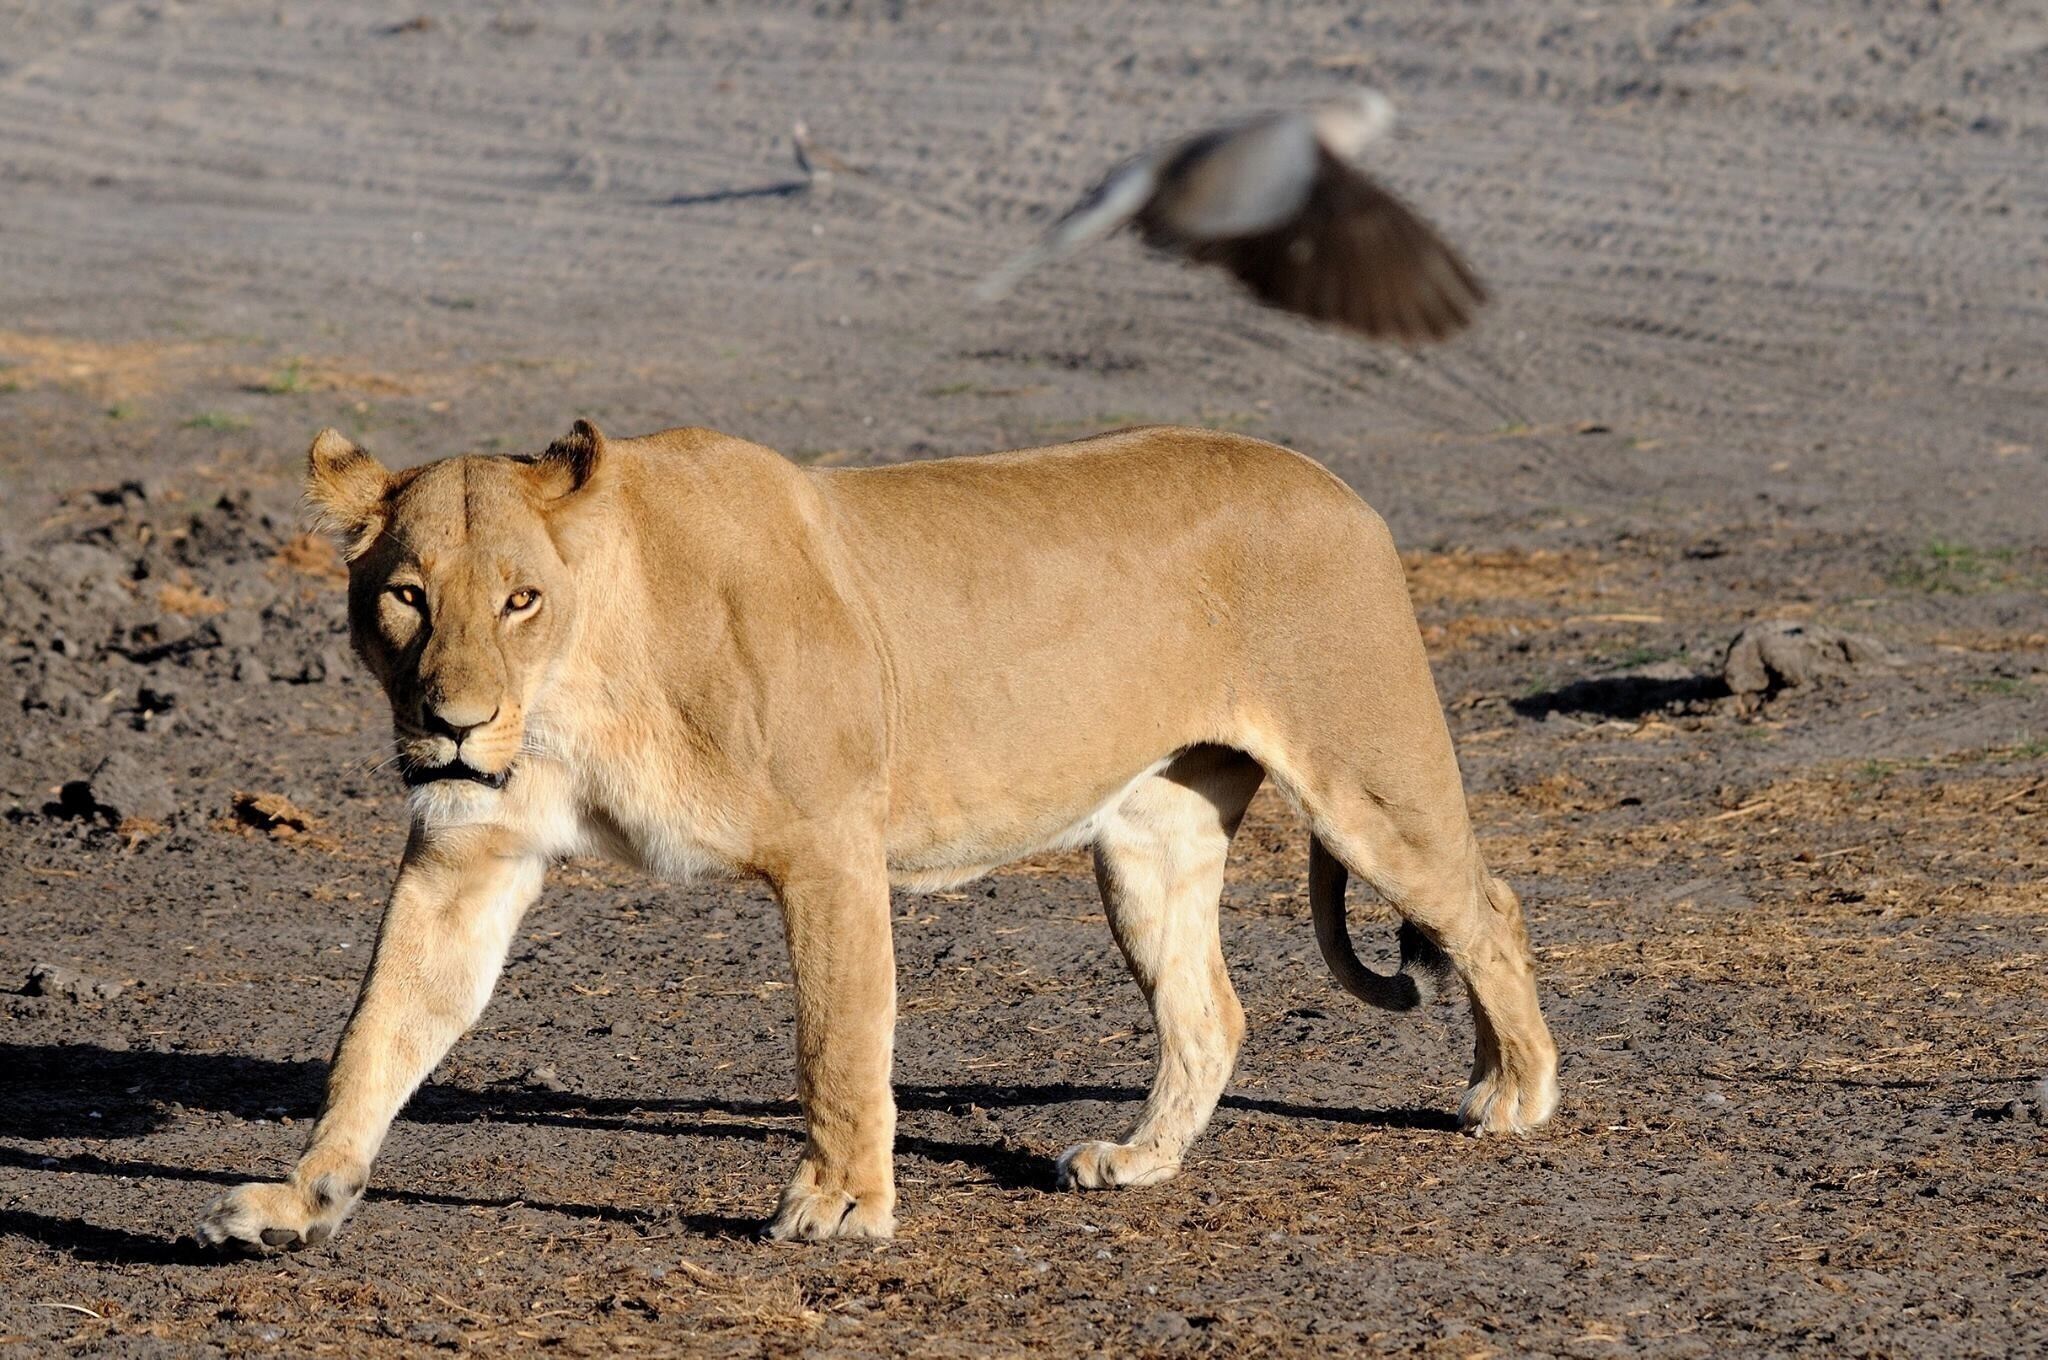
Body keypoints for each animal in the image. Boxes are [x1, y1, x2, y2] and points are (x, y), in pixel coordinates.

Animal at [195, 420, 1558, 1249]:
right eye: (405, 598)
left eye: (520, 598)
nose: (454, 723)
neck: (580, 680)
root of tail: (1333, 483)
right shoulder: (466, 851)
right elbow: (380, 1029)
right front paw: (304, 1197)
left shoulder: (827, 845)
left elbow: (836, 1039)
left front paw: (842, 1207)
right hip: (1150, 833)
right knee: (1209, 1008)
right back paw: (1138, 1159)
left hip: (1365, 776)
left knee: (1484, 906)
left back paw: (1514, 1091)